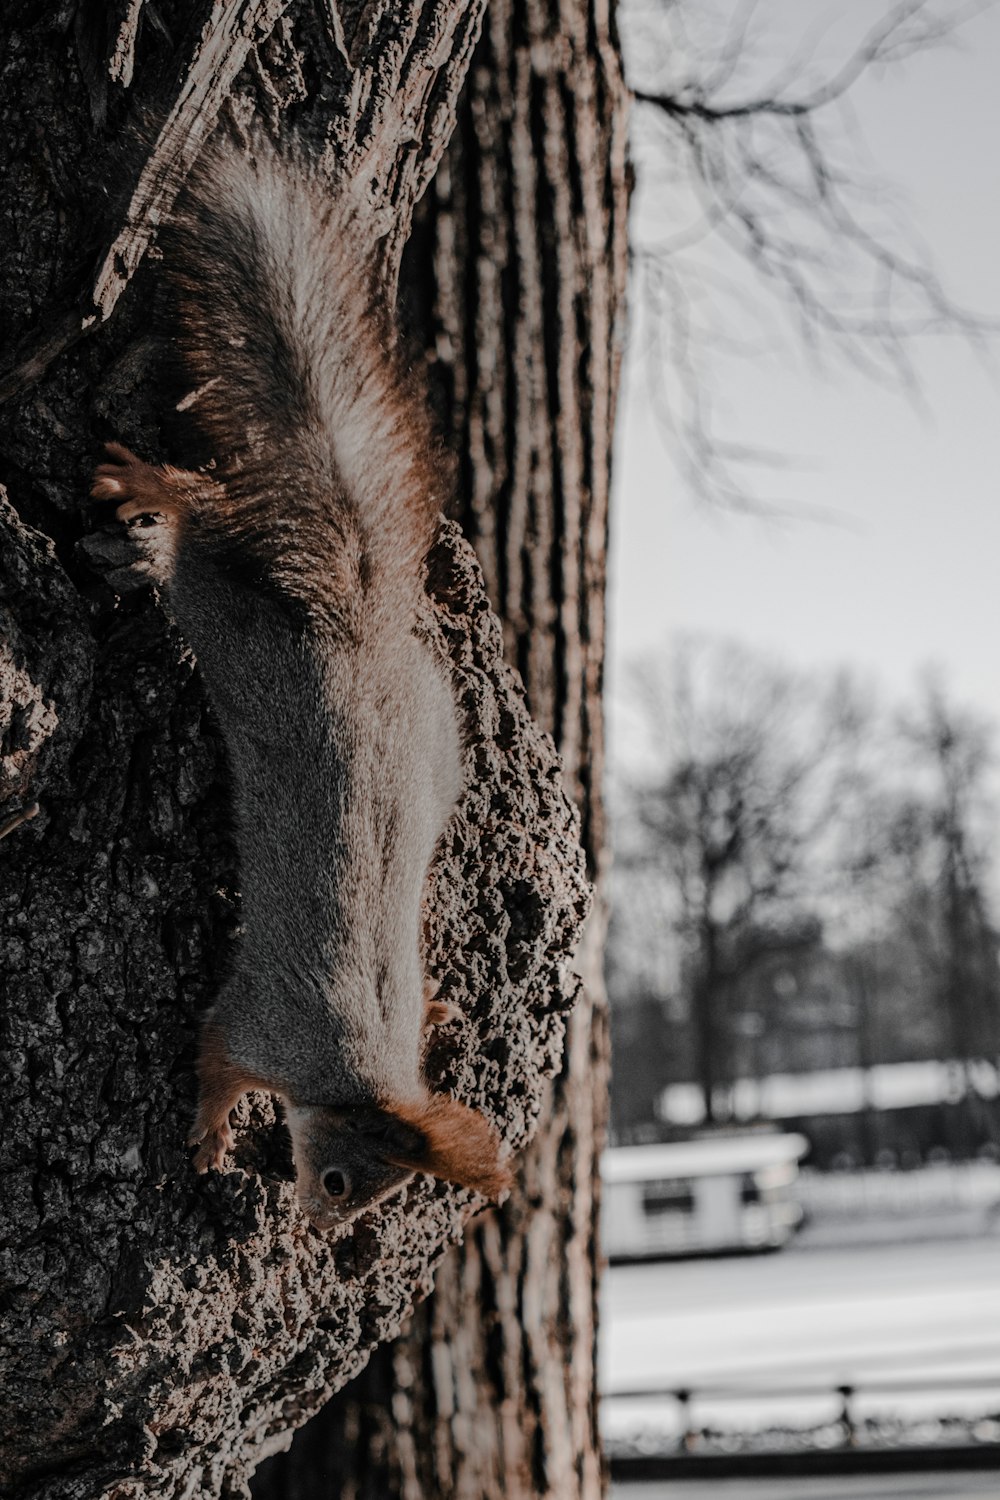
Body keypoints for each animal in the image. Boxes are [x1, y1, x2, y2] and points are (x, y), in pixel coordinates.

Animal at [89, 132, 512, 1230]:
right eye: (337, 1182)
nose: (321, 1230)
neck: (355, 1073)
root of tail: (355, 633)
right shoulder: (261, 1021)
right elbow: (212, 1056)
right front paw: (208, 1131)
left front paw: (437, 1006)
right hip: (233, 632)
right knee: (196, 529)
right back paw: (150, 490)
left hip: (435, 732)